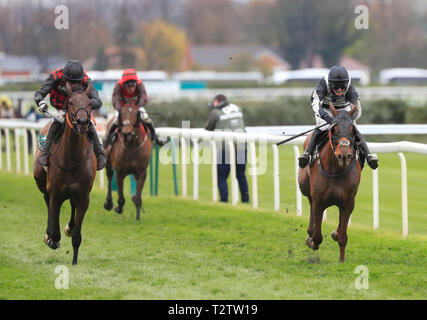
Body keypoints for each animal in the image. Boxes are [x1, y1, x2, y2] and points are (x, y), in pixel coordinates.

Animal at [33, 82, 97, 264]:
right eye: (70, 102)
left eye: (89, 104)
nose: (82, 122)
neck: (71, 159)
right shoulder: (56, 194)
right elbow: (55, 229)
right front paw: (51, 239)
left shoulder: (83, 197)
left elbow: (77, 235)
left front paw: (74, 262)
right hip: (40, 179)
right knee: (46, 200)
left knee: (72, 205)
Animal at [300, 102, 362, 262]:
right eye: (334, 129)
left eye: (352, 130)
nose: (344, 155)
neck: (335, 171)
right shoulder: (319, 201)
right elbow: (318, 236)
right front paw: (311, 241)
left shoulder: (349, 202)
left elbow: (343, 236)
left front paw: (341, 260)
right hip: (304, 185)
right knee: (309, 201)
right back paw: (310, 233)